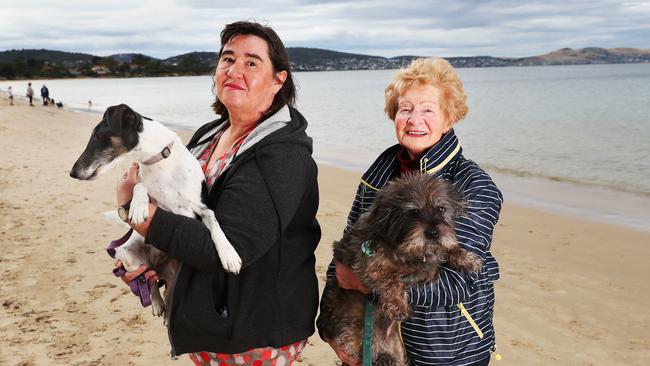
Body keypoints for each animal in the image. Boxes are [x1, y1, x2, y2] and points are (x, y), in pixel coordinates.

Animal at [71, 104, 242, 316]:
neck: (160, 163)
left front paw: (229, 255)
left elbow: (214, 221)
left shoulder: (201, 208)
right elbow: (140, 185)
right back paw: (157, 302)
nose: (72, 172)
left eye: (97, 135)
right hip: (128, 256)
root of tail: (157, 264)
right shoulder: (152, 194)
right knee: (149, 281)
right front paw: (138, 207)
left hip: (173, 270)